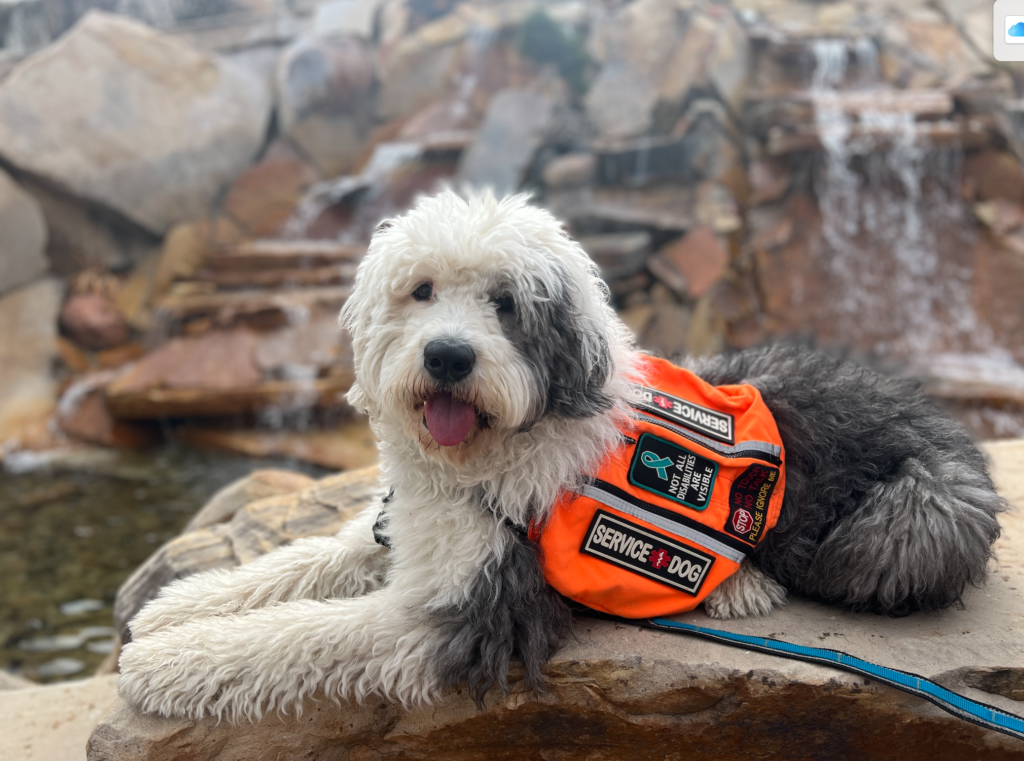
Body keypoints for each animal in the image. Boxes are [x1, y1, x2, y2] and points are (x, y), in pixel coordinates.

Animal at [116, 189, 1003, 721]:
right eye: (422, 289)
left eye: (507, 303)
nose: (447, 357)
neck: (489, 453)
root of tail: (936, 417)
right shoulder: (419, 525)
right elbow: (305, 561)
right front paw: (177, 606)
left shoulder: (467, 603)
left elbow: (301, 633)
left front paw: (162, 661)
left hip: (912, 519)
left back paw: (741, 585)